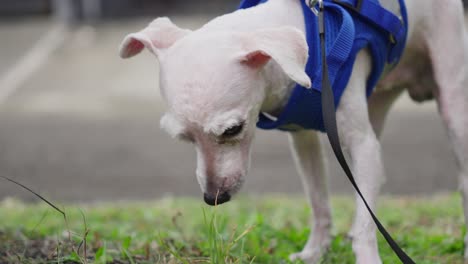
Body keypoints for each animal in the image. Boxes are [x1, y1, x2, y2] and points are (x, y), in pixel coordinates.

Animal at [119, 1, 468, 262]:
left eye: (233, 129)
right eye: (185, 138)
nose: (213, 197)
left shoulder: (362, 146)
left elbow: (365, 221)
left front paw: (366, 255)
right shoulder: (302, 139)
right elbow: (318, 201)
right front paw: (315, 251)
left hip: (452, 96)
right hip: (378, 102)